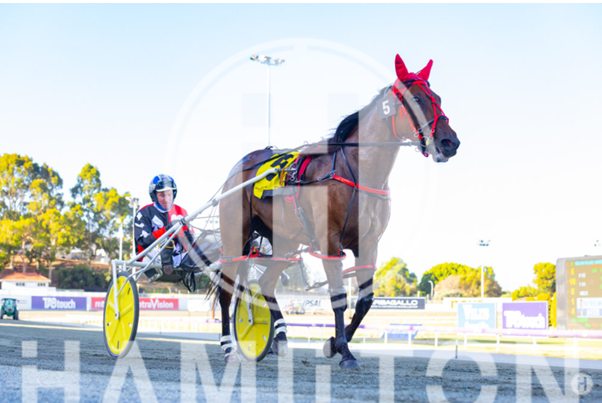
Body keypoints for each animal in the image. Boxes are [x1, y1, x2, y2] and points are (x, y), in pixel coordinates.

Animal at [214, 54, 460, 370]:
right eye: (416, 98)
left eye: (438, 98)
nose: (450, 142)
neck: (355, 170)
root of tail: (240, 166)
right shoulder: (330, 243)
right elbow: (339, 298)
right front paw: (345, 351)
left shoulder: (369, 245)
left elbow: (366, 300)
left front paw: (332, 343)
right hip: (236, 236)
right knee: (227, 288)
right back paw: (228, 347)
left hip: (285, 241)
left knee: (265, 282)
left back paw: (279, 336)